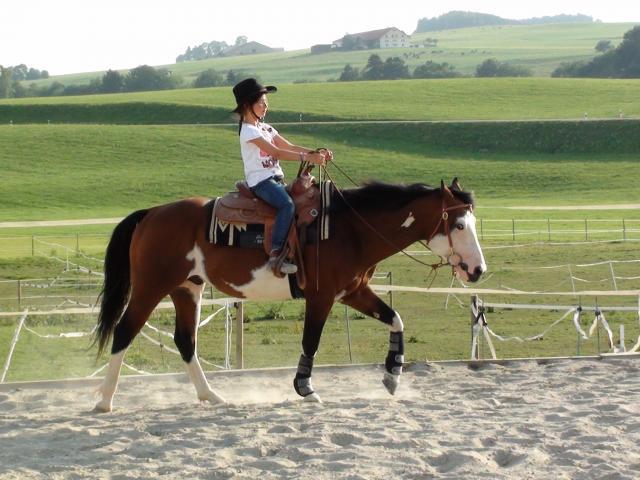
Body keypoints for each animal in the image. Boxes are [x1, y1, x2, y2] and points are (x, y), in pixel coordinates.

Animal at [92, 178, 486, 412]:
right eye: (459, 225)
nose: (477, 270)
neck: (350, 229)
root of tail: (150, 215)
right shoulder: (322, 296)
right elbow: (311, 341)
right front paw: (305, 387)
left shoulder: (353, 291)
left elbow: (395, 319)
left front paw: (392, 375)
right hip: (150, 288)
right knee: (124, 332)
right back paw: (105, 401)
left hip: (187, 289)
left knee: (185, 340)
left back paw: (212, 396)